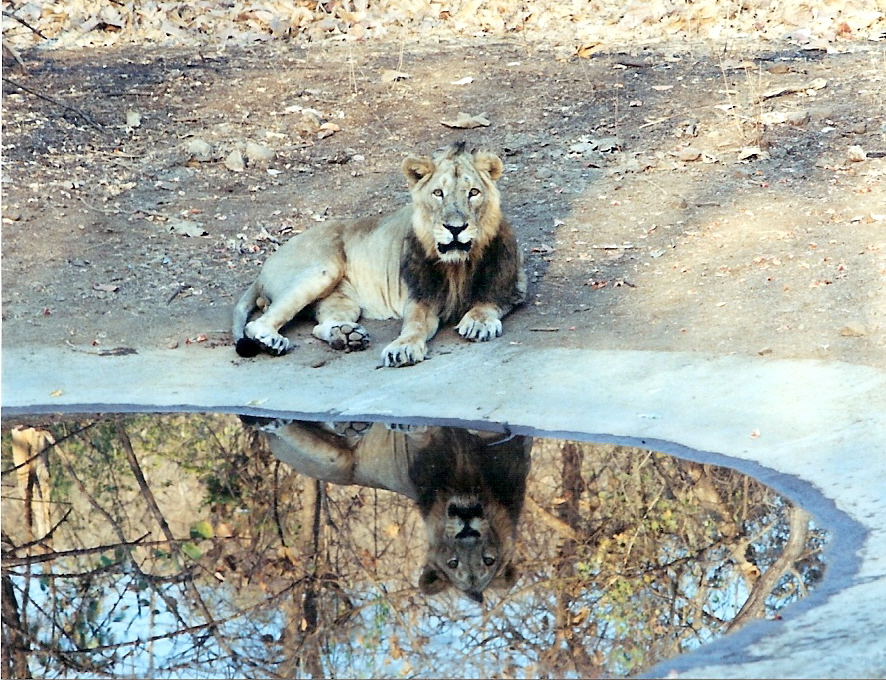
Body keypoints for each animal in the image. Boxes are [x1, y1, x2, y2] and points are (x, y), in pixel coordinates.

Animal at [232, 141, 526, 367]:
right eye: (438, 193)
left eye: (473, 192)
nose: (455, 228)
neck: (457, 266)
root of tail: (264, 266)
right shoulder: (419, 298)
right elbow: (414, 326)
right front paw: (403, 348)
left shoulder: (511, 287)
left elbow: (486, 302)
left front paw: (478, 323)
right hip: (321, 270)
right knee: (256, 324)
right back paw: (274, 341)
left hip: (342, 300)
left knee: (320, 324)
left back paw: (346, 335)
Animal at [242, 417, 532, 603]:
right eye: (453, 563)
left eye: (488, 560)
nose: (467, 530)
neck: (467, 484)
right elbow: (433, 432)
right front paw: (410, 424)